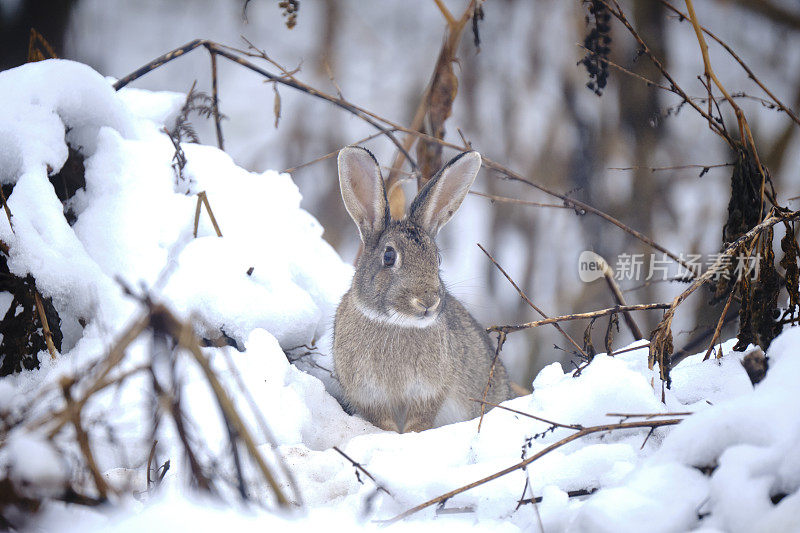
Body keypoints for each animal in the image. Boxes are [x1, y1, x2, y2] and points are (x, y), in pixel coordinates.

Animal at [332, 145, 512, 432]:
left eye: (437, 259)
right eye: (389, 257)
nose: (428, 301)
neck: (396, 323)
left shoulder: (428, 394)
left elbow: (419, 422)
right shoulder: (370, 397)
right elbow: (384, 423)